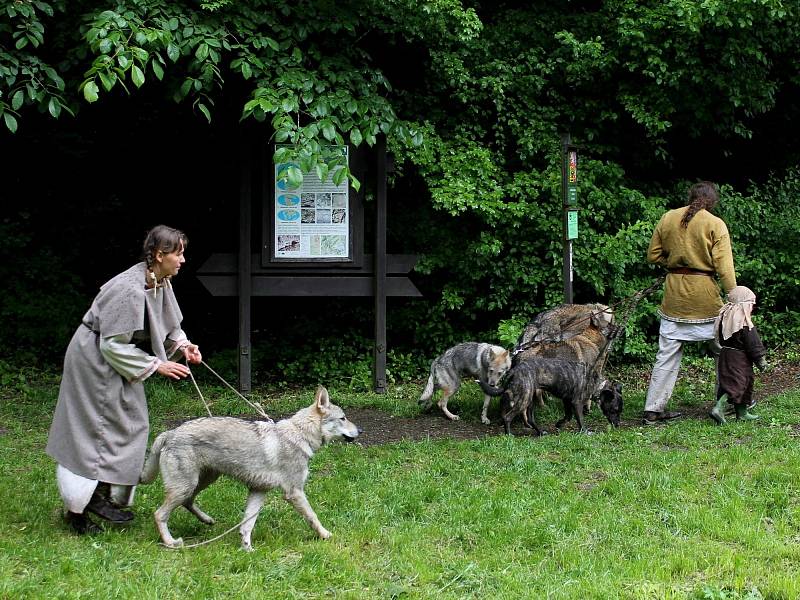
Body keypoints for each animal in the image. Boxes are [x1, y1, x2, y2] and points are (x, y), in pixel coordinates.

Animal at [140, 386, 360, 552]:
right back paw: (170, 543)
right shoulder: (294, 493)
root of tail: (170, 432)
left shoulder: (258, 490)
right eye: (343, 418)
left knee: (188, 502)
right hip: (186, 486)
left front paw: (247, 549)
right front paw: (325, 535)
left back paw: (207, 520)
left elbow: (247, 525)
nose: (360, 430)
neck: (299, 435)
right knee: (159, 514)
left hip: (202, 482)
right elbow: (313, 517)